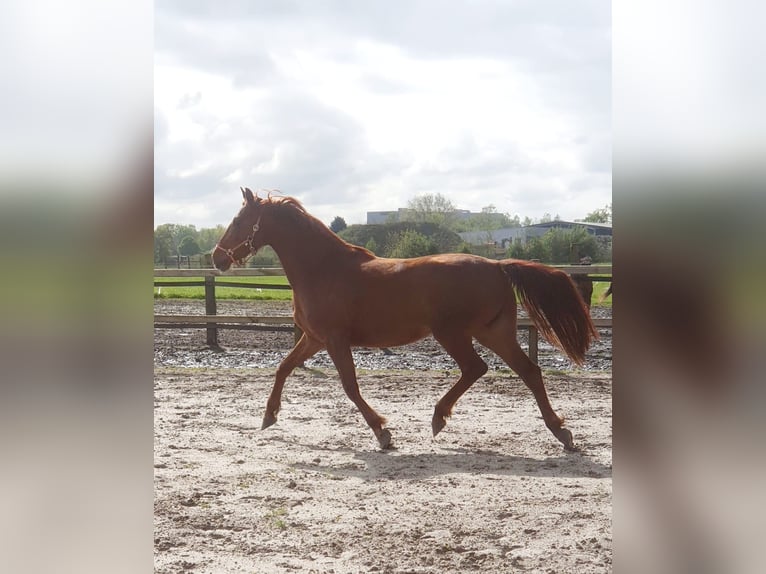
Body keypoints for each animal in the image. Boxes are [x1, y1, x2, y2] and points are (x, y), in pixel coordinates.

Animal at [212, 189, 600, 450]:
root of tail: (497, 265)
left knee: (478, 368)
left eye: (237, 220)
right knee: (528, 371)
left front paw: (383, 433)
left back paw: (439, 417)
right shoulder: (314, 338)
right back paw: (561, 432)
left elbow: (350, 386)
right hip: (493, 332)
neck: (322, 269)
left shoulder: (335, 340)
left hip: (453, 333)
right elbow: (283, 368)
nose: (217, 257)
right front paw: (268, 417)